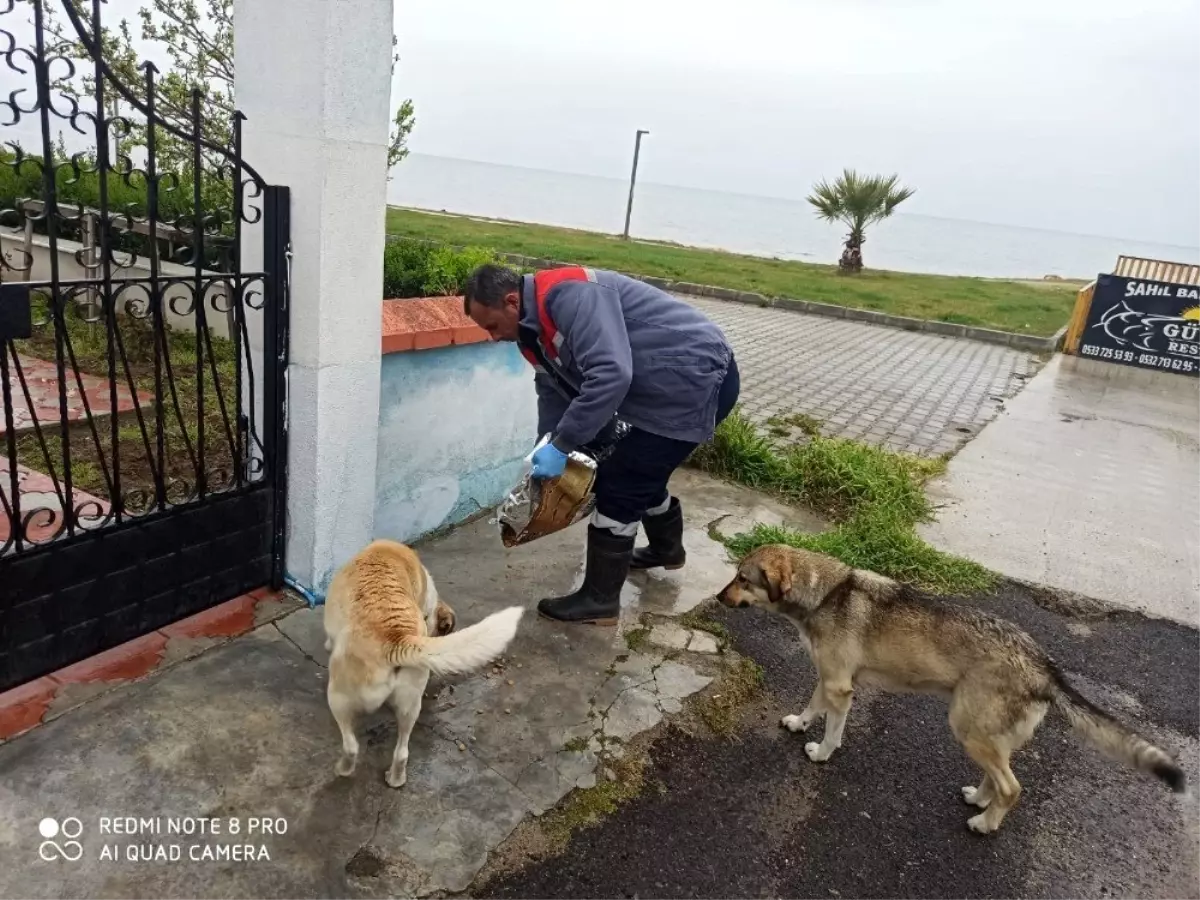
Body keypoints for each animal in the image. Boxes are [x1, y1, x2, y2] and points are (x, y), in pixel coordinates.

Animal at [321, 540, 523, 787]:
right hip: (410, 706)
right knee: (402, 752)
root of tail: (397, 640)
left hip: (338, 698)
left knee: (351, 746)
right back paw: (395, 779)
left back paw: (343, 769)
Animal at [715, 547, 1185, 835]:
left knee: (1012, 787)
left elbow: (832, 729)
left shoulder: (841, 688)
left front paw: (822, 752)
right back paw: (979, 799)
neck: (826, 591)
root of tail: (1045, 666)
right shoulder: (827, 679)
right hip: (985, 731)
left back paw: (985, 824)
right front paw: (799, 723)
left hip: (967, 726)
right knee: (998, 775)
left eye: (742, 578)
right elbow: (812, 707)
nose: (718, 597)